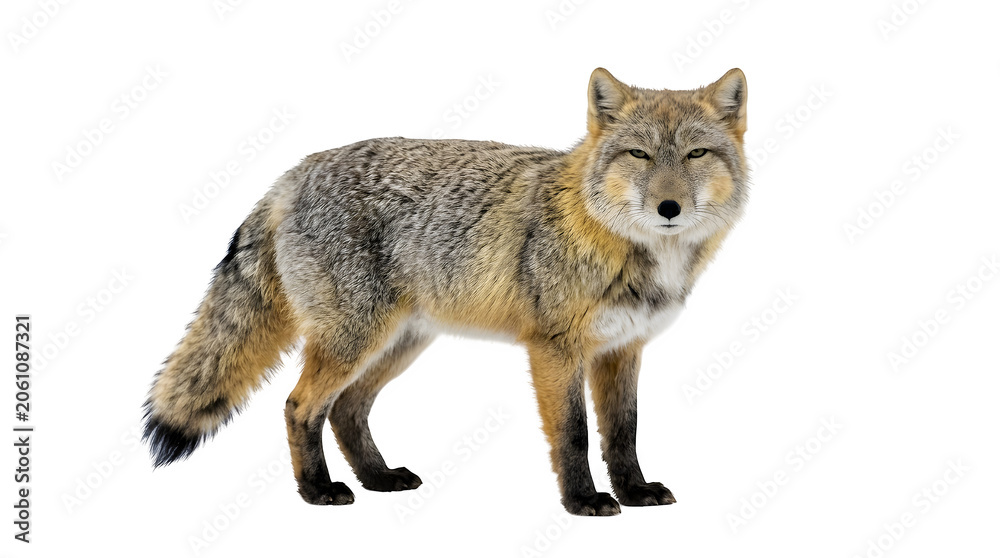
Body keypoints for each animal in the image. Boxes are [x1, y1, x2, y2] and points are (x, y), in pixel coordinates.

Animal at [143, 67, 749, 516]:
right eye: (639, 156)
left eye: (695, 155)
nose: (668, 208)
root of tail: (295, 171)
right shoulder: (555, 350)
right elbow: (574, 434)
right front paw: (582, 501)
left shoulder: (623, 349)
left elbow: (623, 433)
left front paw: (634, 492)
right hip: (355, 340)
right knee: (300, 407)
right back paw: (317, 491)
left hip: (396, 346)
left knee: (347, 411)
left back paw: (378, 479)